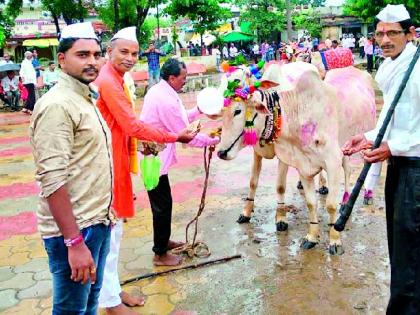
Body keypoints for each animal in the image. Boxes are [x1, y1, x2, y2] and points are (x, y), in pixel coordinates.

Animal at [217, 62, 374, 256]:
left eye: (238, 111)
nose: (221, 152)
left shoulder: (330, 162)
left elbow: (328, 204)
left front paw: (335, 241)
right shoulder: (299, 164)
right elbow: (310, 203)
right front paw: (311, 237)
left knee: (355, 169)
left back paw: (349, 202)